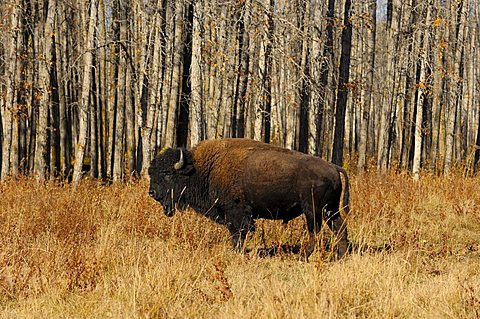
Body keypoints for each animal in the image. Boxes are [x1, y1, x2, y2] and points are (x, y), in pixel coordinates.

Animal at [148, 139, 350, 258]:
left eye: (167, 173)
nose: (152, 193)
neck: (203, 169)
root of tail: (333, 167)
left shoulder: (236, 212)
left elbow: (238, 233)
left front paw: (236, 251)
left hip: (313, 210)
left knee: (315, 231)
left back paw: (304, 255)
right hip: (330, 209)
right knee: (339, 227)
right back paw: (341, 255)